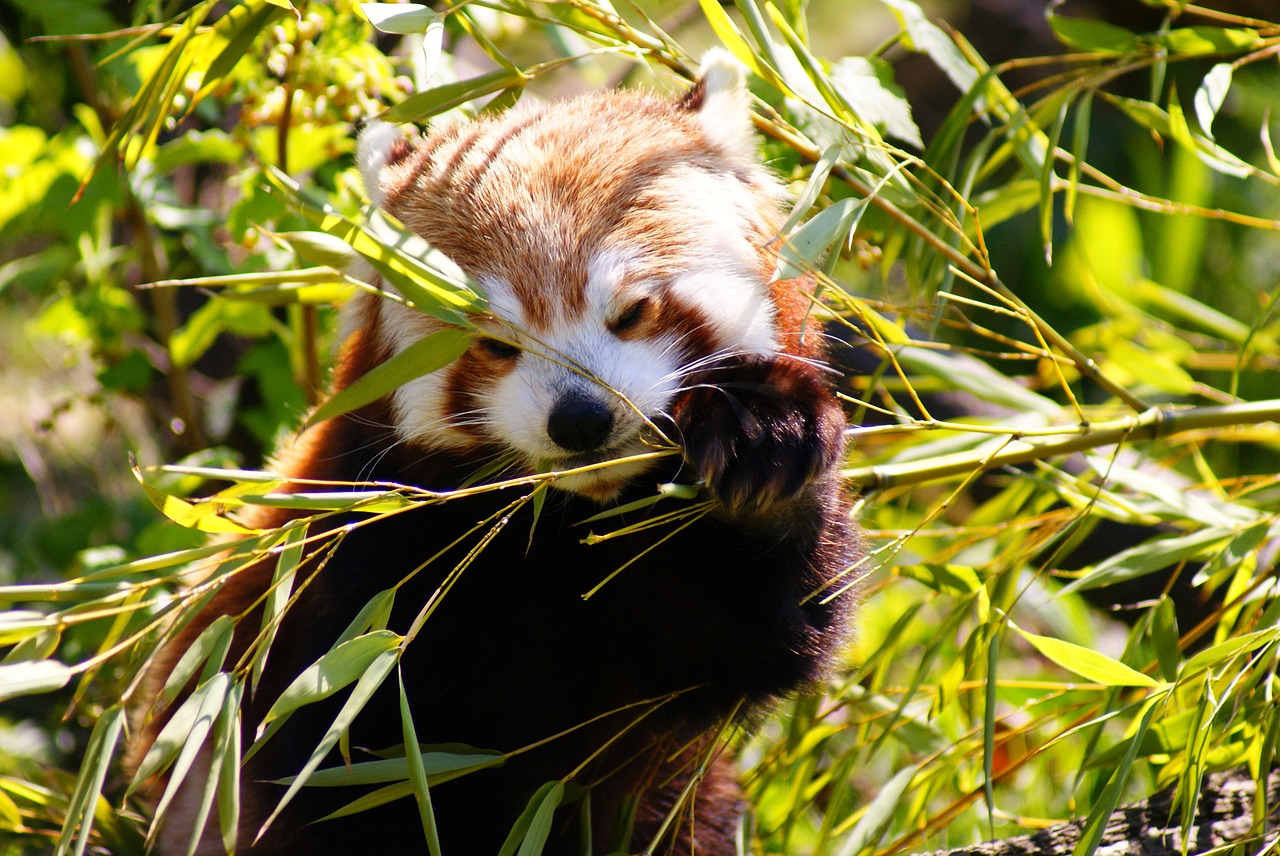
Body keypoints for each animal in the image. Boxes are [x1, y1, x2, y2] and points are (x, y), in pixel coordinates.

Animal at [137, 50, 860, 849]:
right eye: (494, 344)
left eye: (633, 311)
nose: (580, 421)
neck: (568, 534)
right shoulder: (352, 577)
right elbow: (335, 767)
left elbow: (766, 626)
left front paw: (765, 446)